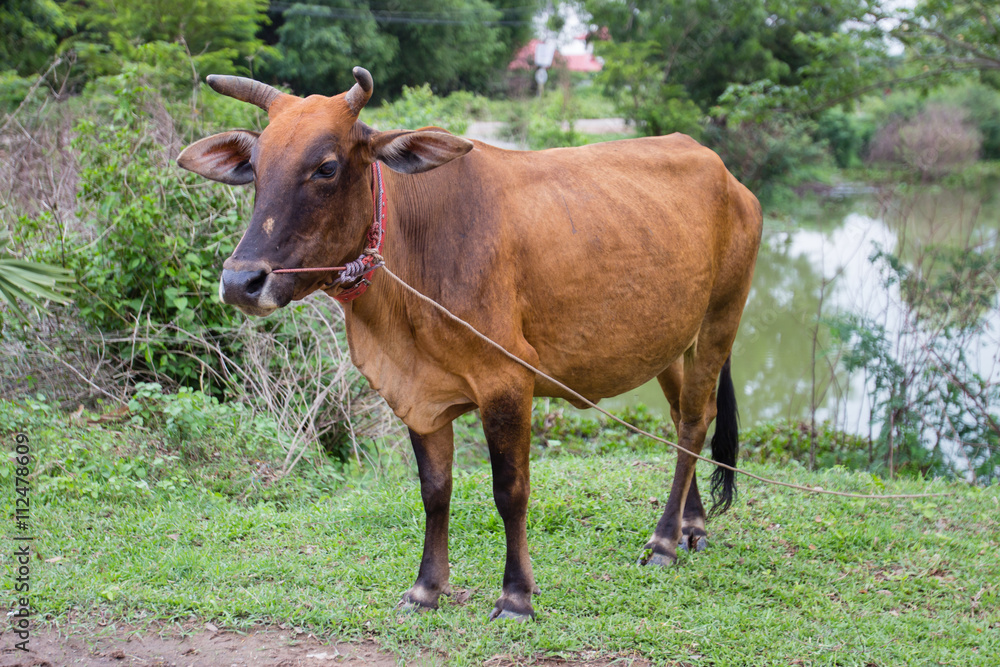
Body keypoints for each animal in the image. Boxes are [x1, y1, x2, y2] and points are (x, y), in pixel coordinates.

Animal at [178, 68, 756, 620]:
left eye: (326, 167)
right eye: (256, 167)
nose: (241, 281)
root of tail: (728, 175)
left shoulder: (508, 382)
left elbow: (510, 491)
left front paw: (517, 596)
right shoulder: (418, 393)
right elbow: (435, 491)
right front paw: (425, 589)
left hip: (720, 321)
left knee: (693, 421)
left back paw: (663, 541)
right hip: (670, 342)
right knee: (685, 417)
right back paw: (690, 525)